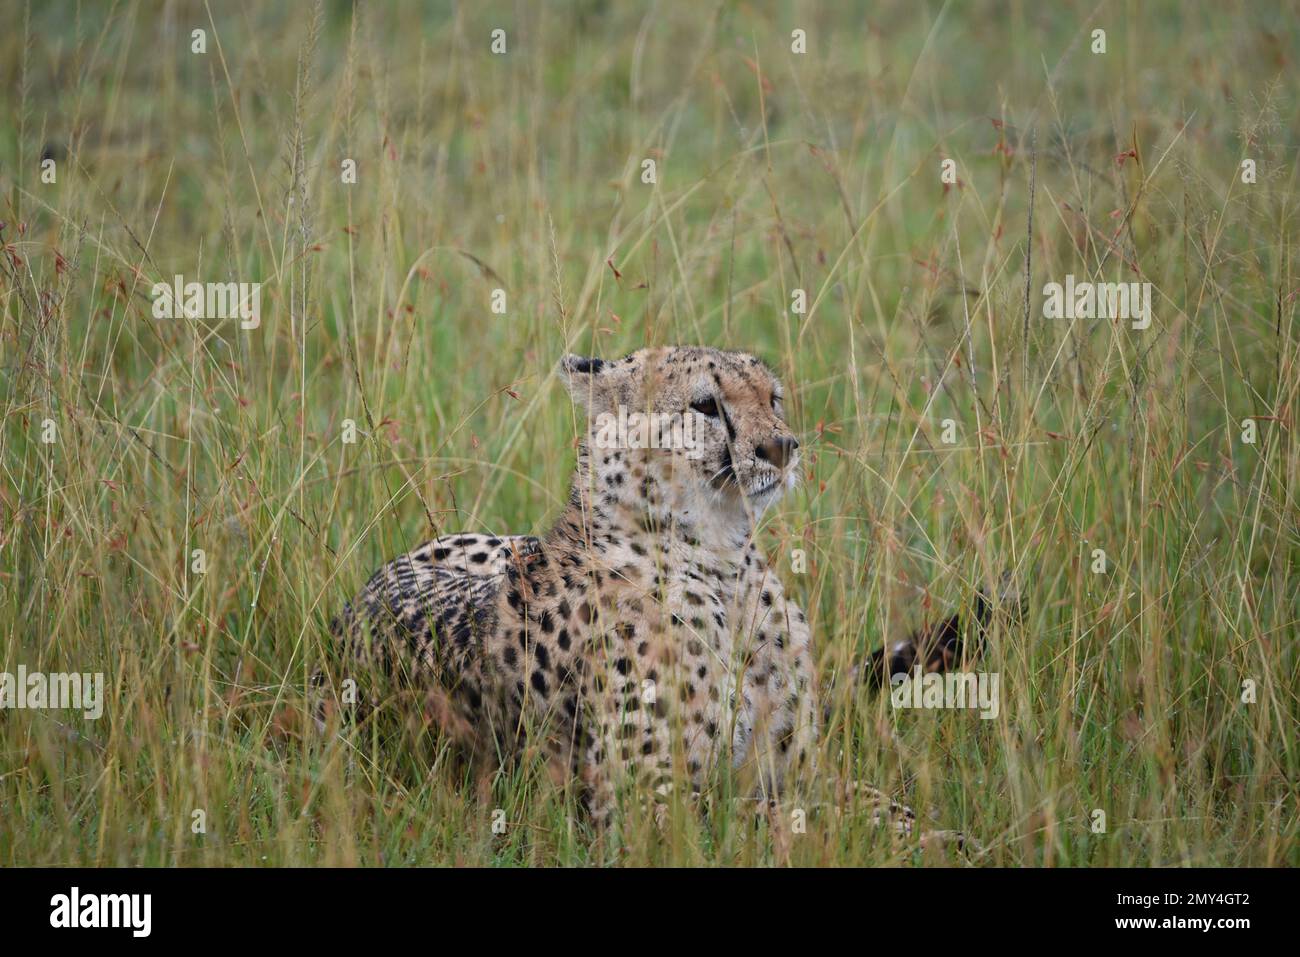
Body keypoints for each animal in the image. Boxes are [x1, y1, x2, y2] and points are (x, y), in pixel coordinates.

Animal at [327, 348, 993, 842]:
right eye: (705, 405)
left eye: (772, 398)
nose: (781, 448)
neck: (724, 560)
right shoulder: (647, 803)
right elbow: (786, 817)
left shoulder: (795, 767)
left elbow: (873, 802)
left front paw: (948, 835)